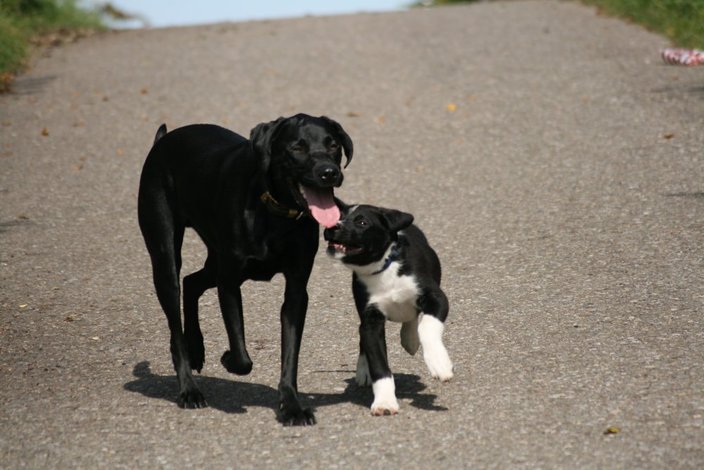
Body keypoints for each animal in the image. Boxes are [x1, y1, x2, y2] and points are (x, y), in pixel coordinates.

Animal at [137, 114, 352, 426]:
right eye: (297, 147)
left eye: (333, 144)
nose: (329, 172)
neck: (275, 213)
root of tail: (162, 142)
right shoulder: (229, 282)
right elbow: (241, 355)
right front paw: (228, 358)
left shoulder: (296, 292)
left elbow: (290, 355)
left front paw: (292, 406)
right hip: (166, 258)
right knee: (176, 318)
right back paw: (189, 388)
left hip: (214, 260)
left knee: (191, 282)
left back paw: (196, 347)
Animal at [324, 202, 454, 414]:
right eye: (338, 216)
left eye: (362, 222)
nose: (332, 226)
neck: (382, 269)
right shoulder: (371, 320)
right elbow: (378, 362)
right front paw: (384, 401)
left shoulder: (437, 298)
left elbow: (427, 326)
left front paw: (439, 363)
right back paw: (364, 369)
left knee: (412, 316)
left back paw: (410, 339)